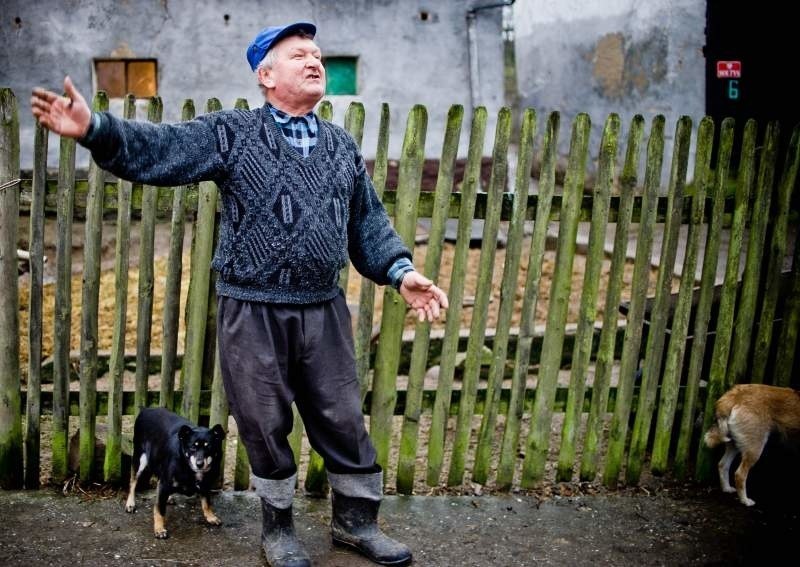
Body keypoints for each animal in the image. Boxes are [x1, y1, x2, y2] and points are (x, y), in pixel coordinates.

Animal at [126, 410, 225, 540]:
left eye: (208, 446)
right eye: (193, 447)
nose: (199, 464)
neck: (187, 465)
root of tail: (145, 410)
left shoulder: (205, 485)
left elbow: (207, 503)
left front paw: (211, 517)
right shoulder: (164, 484)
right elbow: (159, 509)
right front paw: (159, 529)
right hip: (140, 459)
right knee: (133, 482)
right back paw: (130, 503)